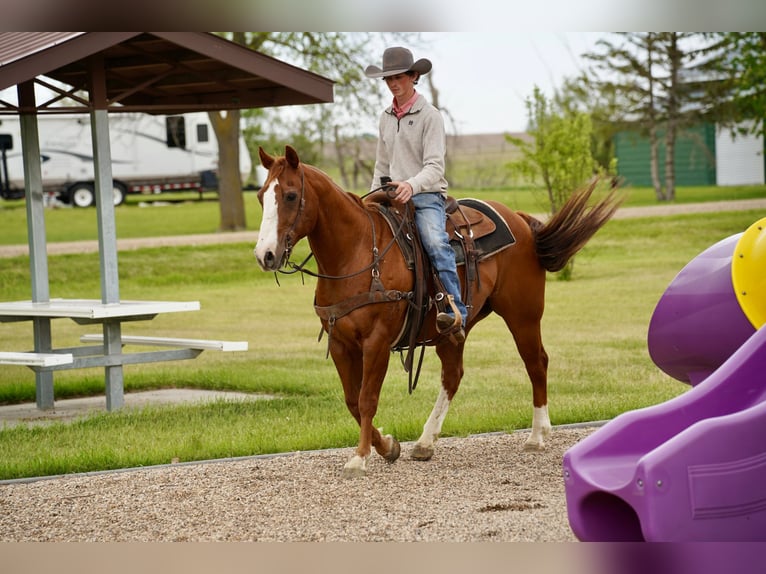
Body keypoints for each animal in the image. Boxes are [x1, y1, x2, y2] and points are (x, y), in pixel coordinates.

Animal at [254, 145, 621, 478]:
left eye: (290, 195)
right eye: (260, 196)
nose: (265, 255)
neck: (356, 252)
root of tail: (520, 219)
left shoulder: (377, 342)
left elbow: (367, 398)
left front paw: (360, 458)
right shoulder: (342, 343)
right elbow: (352, 400)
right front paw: (387, 446)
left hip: (524, 315)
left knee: (536, 363)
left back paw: (537, 435)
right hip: (454, 329)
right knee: (453, 375)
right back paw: (425, 442)